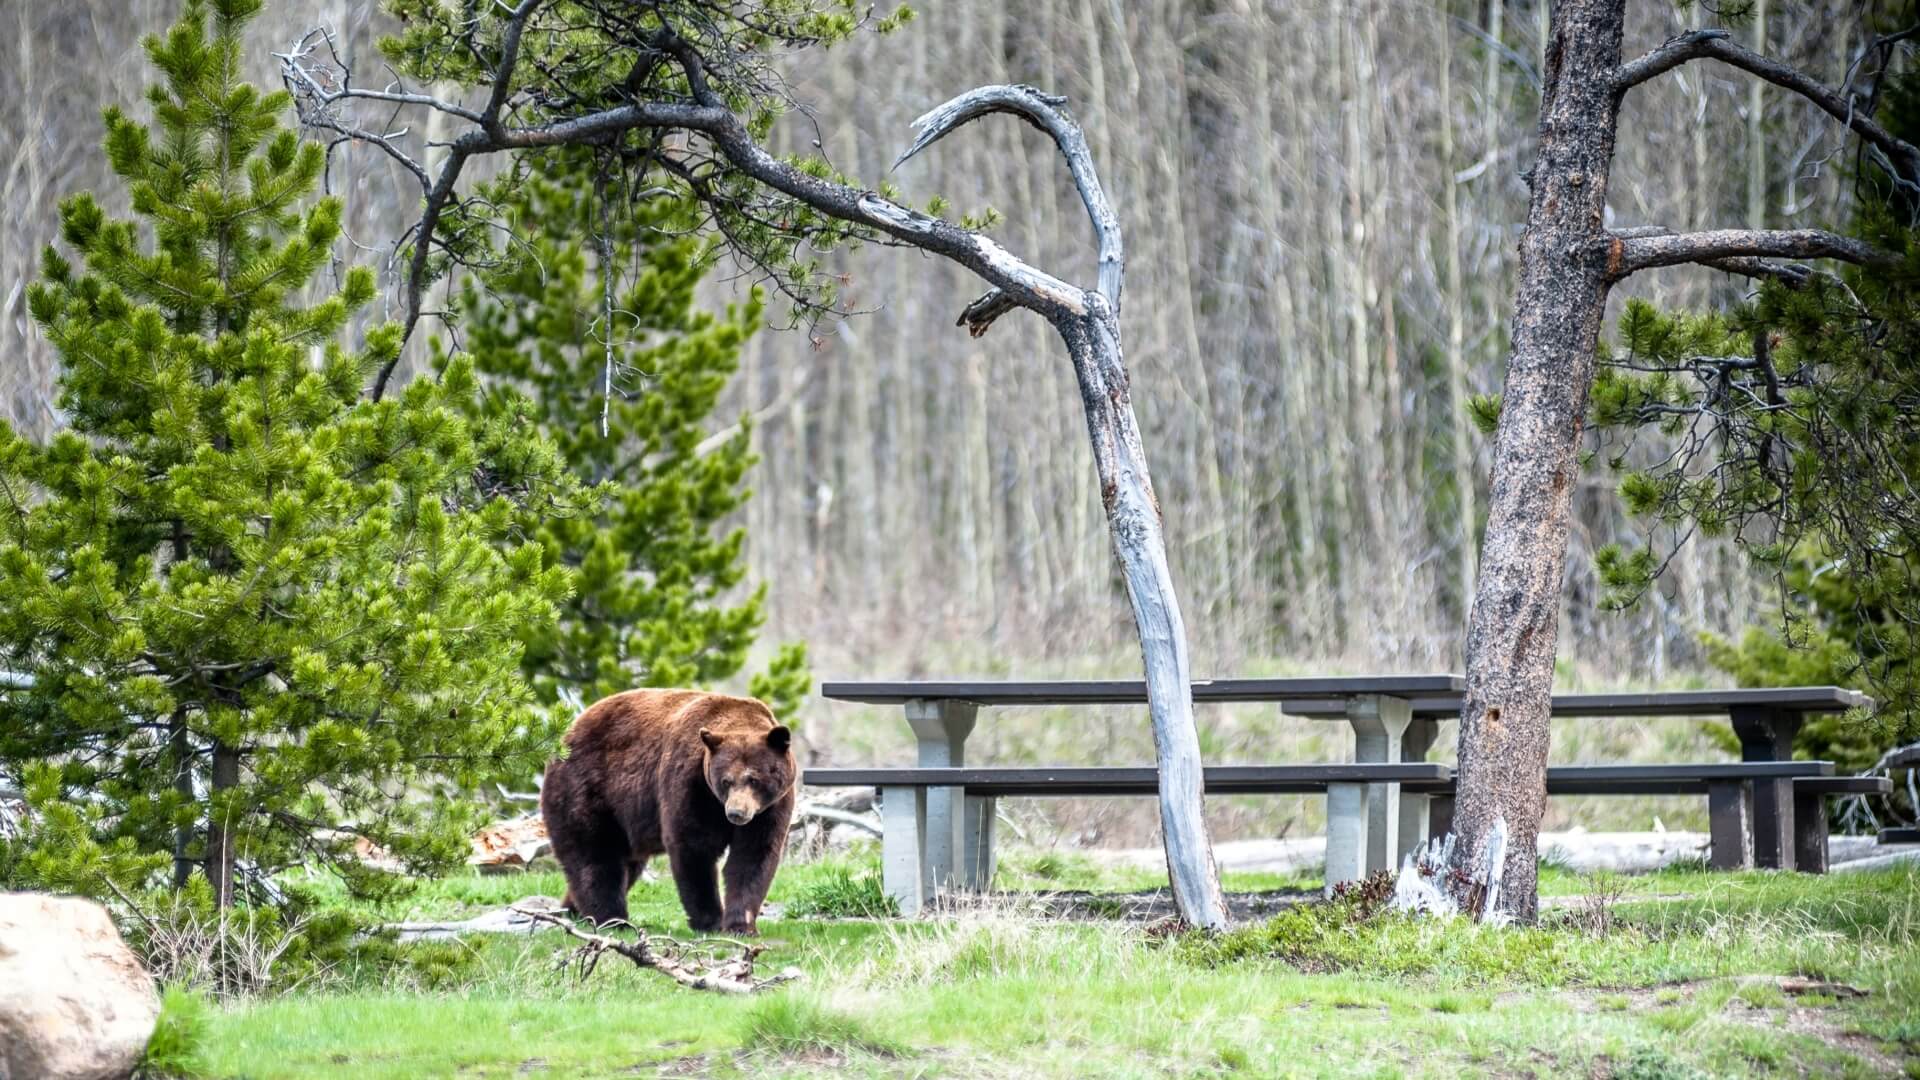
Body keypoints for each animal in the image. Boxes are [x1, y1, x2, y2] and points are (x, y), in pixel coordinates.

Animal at [539, 689, 798, 935]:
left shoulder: (770, 808)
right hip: (588, 788)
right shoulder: (691, 784)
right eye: (726, 781)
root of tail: (568, 733)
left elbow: (753, 856)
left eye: (754, 779)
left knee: (625, 863)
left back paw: (573, 909)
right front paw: (711, 921)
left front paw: (742, 925)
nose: (736, 813)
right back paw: (612, 919)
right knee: (595, 854)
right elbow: (694, 848)